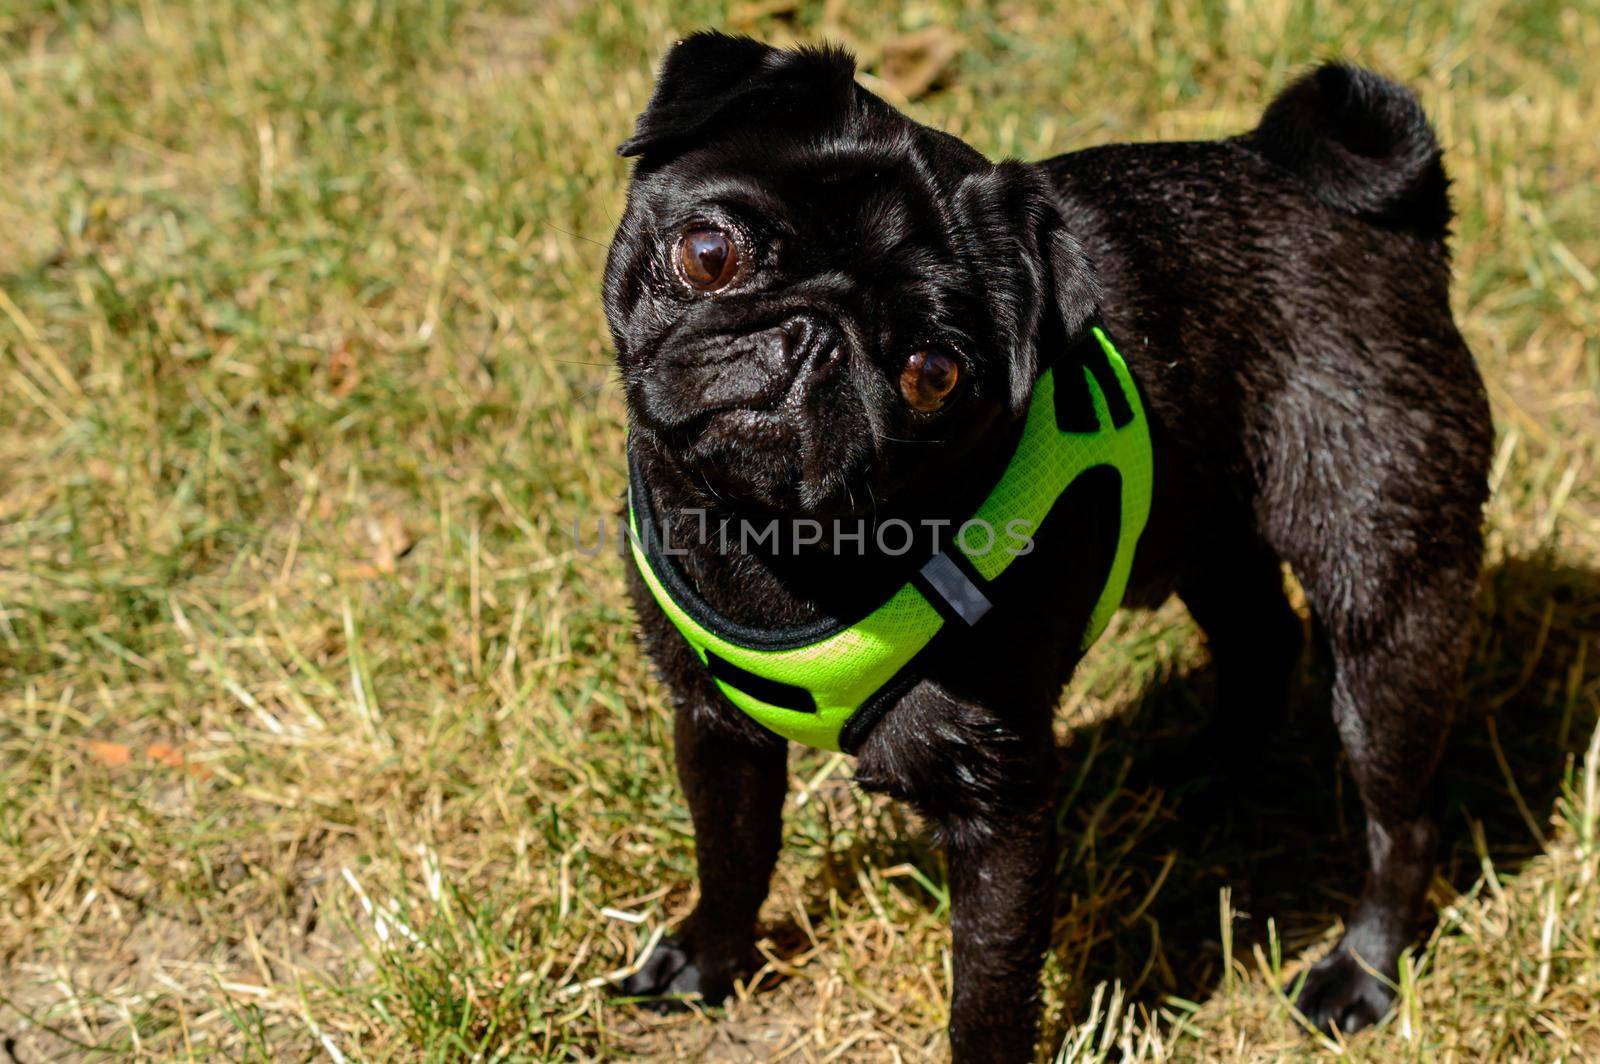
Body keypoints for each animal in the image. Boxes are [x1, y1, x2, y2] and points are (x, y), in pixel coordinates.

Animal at [598, 31, 1484, 1056]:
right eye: (708, 253)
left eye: (933, 373)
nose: (815, 337)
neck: (774, 548)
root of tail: (1398, 223)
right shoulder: (712, 727)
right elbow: (733, 856)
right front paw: (707, 963)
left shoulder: (1001, 803)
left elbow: (988, 988)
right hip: (1208, 532)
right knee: (1262, 640)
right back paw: (1204, 771)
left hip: (1385, 607)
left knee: (1399, 819)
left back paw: (1361, 972)